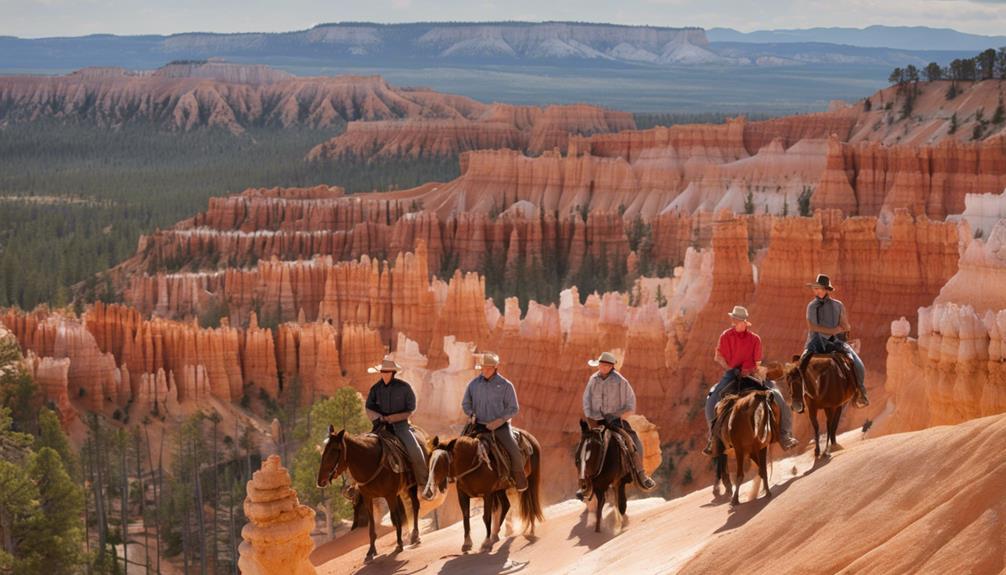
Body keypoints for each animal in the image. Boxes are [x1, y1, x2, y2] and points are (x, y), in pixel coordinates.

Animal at [313, 424, 424, 562]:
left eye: (335, 450)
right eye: (324, 450)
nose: (320, 481)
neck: (370, 463)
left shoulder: (390, 495)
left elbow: (395, 518)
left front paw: (399, 544)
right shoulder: (368, 498)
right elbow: (371, 526)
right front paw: (371, 551)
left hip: (411, 486)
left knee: (415, 506)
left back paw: (415, 535)